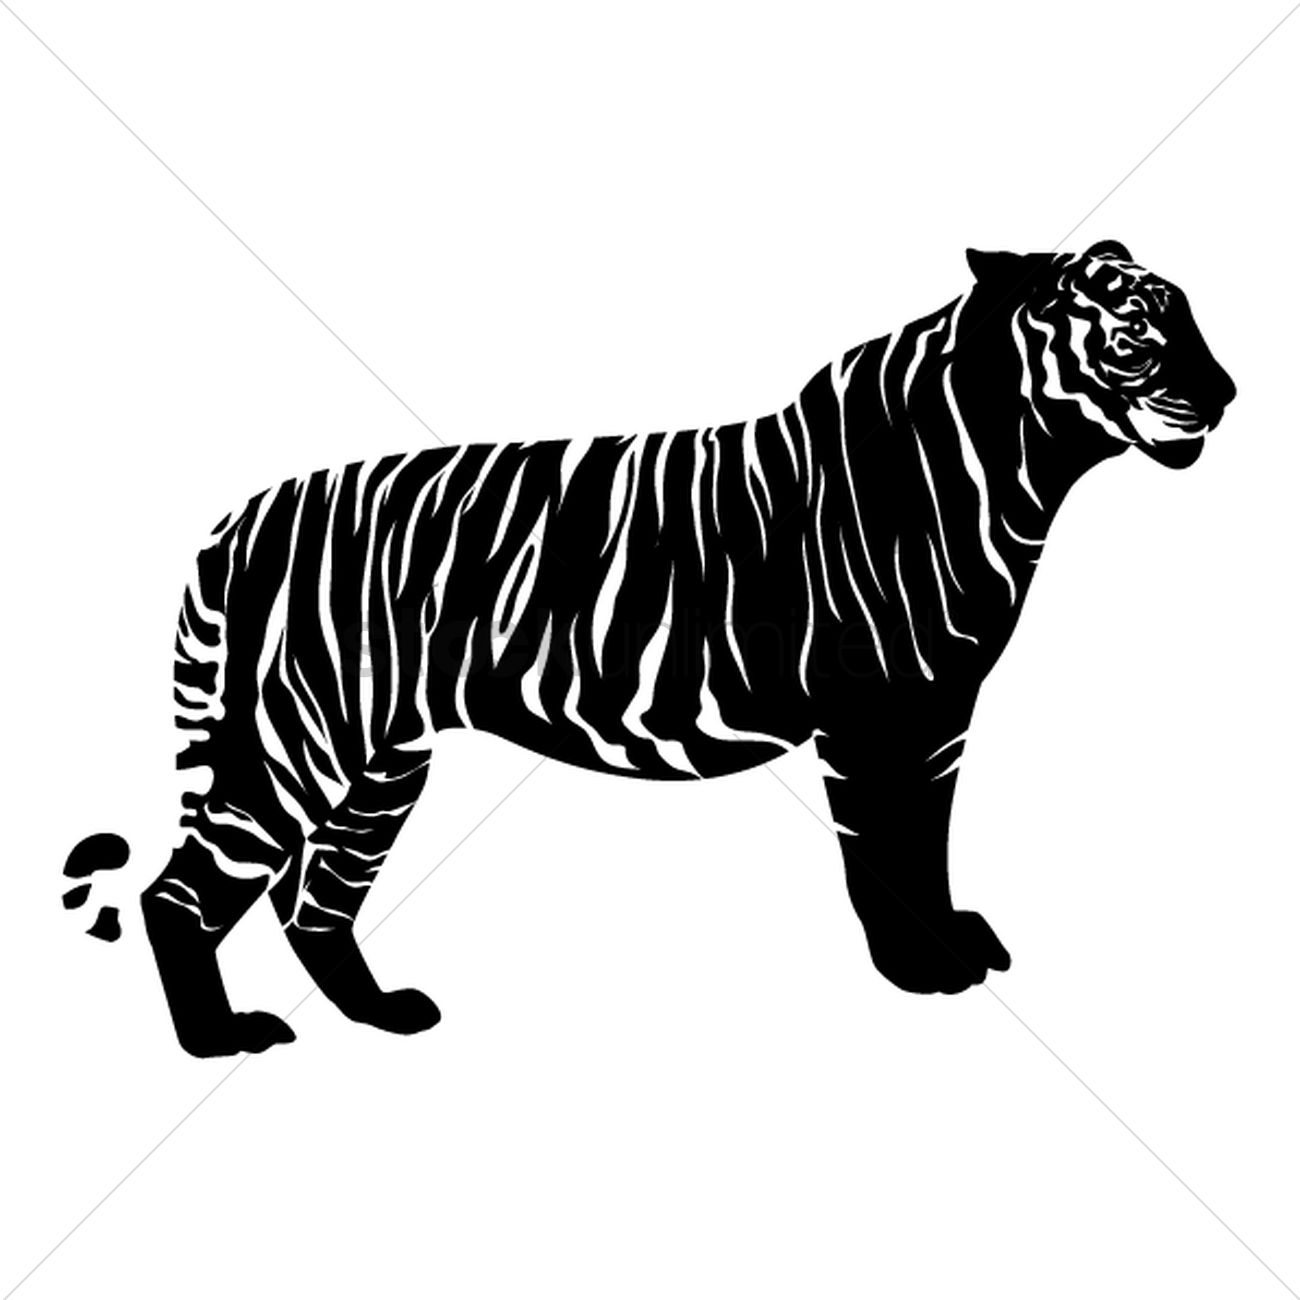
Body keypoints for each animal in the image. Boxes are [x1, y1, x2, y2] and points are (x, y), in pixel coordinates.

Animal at [64, 240, 1235, 1058]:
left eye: (1191, 316)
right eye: (1136, 332)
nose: (1225, 394)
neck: (1015, 473)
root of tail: (238, 519)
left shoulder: (938, 719)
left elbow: (928, 845)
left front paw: (951, 942)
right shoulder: (875, 723)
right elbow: (885, 856)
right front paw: (918, 971)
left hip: (381, 764)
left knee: (316, 901)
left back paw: (383, 1013)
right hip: (293, 744)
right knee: (185, 894)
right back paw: (218, 1040)